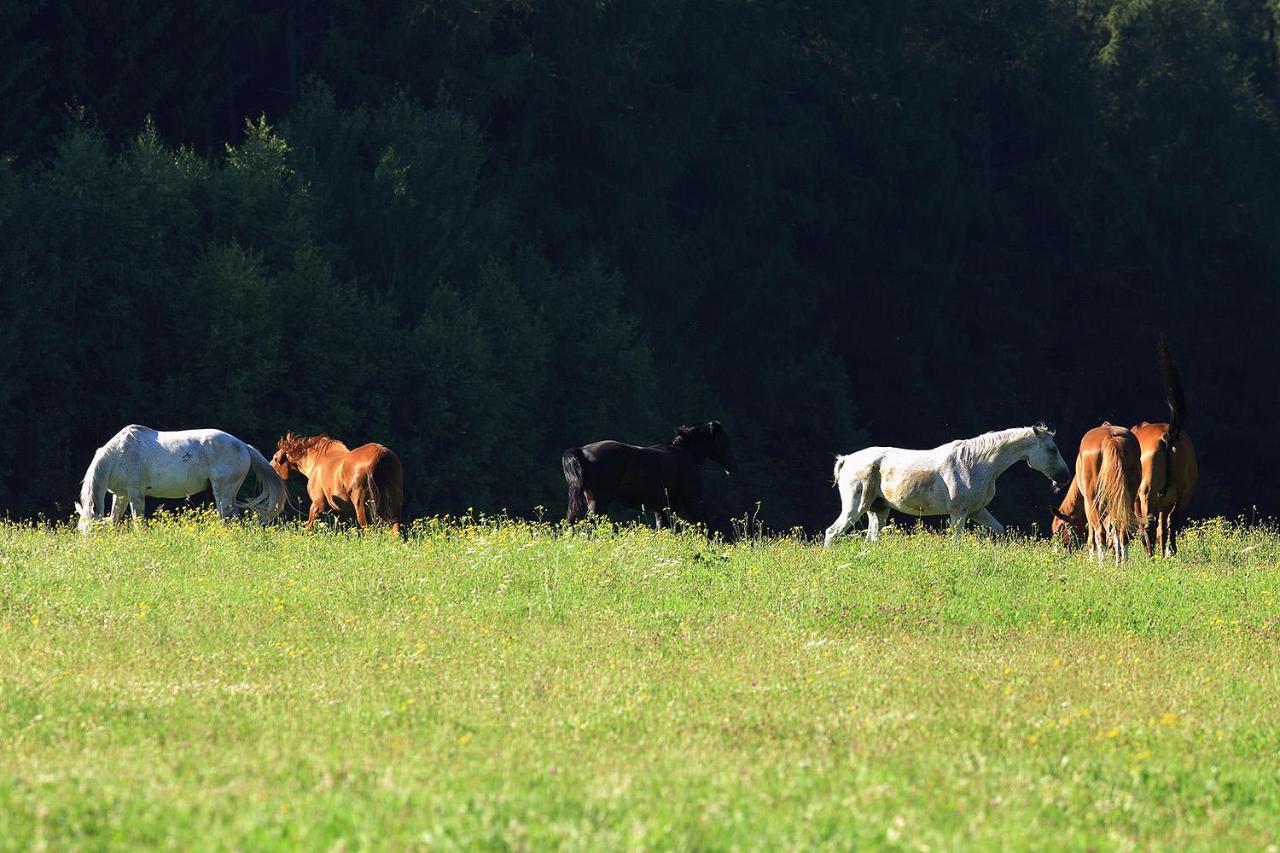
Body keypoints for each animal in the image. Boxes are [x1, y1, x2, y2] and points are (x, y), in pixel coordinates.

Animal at [76, 422, 286, 527]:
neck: (120, 453)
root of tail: (243, 445)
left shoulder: (136, 494)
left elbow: (138, 522)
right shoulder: (121, 495)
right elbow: (113, 520)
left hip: (223, 493)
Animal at [270, 432, 404, 532]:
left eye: (275, 458)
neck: (315, 461)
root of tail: (380, 453)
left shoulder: (318, 504)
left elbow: (309, 525)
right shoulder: (338, 511)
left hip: (363, 505)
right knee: (395, 527)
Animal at [563, 420, 737, 527]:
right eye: (725, 439)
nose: (732, 466)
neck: (685, 455)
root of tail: (582, 450)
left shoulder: (661, 510)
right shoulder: (694, 505)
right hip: (599, 502)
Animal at [819, 420, 1070, 545]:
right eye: (1052, 449)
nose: (1065, 477)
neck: (975, 463)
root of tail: (846, 459)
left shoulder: (977, 511)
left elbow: (999, 531)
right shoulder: (959, 513)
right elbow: (956, 542)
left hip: (877, 510)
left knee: (870, 540)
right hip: (856, 507)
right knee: (832, 532)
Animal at [1049, 422, 1141, 560]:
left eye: (1058, 530)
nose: (1057, 554)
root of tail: (1109, 438)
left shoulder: (1089, 506)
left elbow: (1092, 538)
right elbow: (1114, 534)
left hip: (1092, 501)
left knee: (1100, 533)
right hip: (1126, 499)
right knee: (1122, 531)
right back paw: (1123, 562)